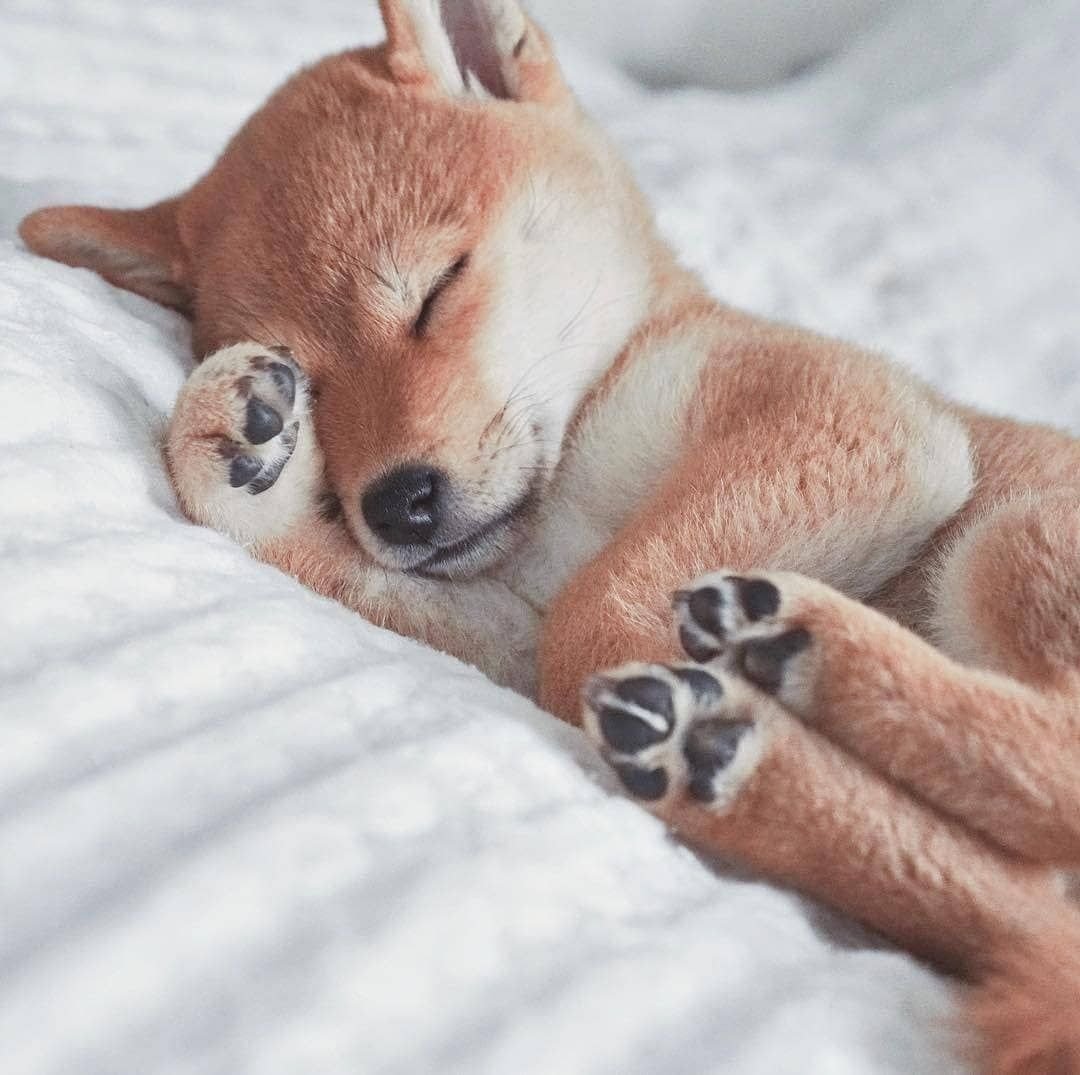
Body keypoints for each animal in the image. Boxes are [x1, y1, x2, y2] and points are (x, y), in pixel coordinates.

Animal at [17, 1, 1080, 1070]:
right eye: (309, 374)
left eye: (436, 291)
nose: (397, 503)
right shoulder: (506, 625)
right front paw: (235, 440)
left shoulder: (850, 420)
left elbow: (595, 615)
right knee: (1033, 918)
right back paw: (738, 755)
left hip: (1011, 542)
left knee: (1055, 760)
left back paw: (794, 661)